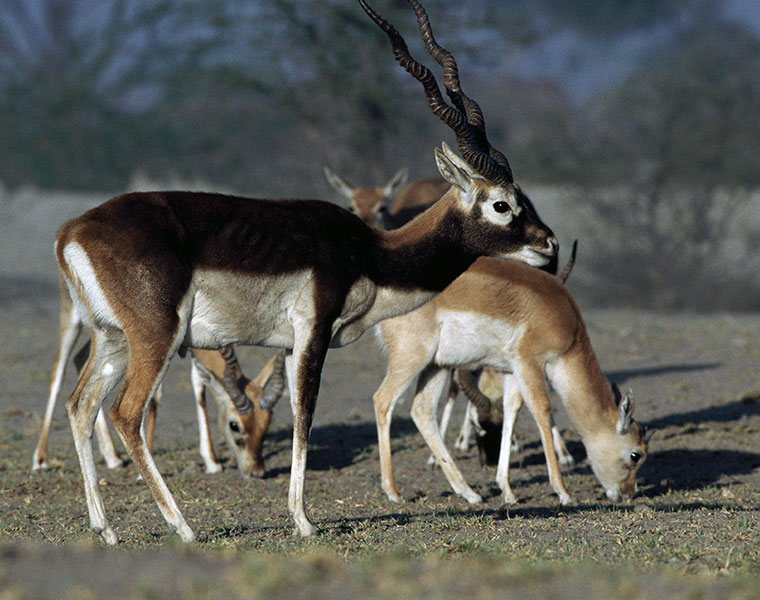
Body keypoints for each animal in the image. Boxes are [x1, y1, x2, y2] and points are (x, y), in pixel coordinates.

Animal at [33, 278, 288, 480]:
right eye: (234, 425)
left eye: (267, 423)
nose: (257, 472)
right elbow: (155, 397)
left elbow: (199, 384)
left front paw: (212, 461)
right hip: (74, 314)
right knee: (59, 369)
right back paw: (40, 460)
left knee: (82, 359)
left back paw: (112, 456)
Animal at [372, 258, 652, 506]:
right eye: (635, 455)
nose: (628, 493)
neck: (563, 315)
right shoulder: (529, 363)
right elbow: (541, 410)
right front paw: (563, 493)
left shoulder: (511, 371)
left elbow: (511, 412)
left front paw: (507, 491)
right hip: (412, 359)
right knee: (382, 400)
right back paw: (393, 492)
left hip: (436, 365)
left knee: (422, 411)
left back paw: (470, 493)